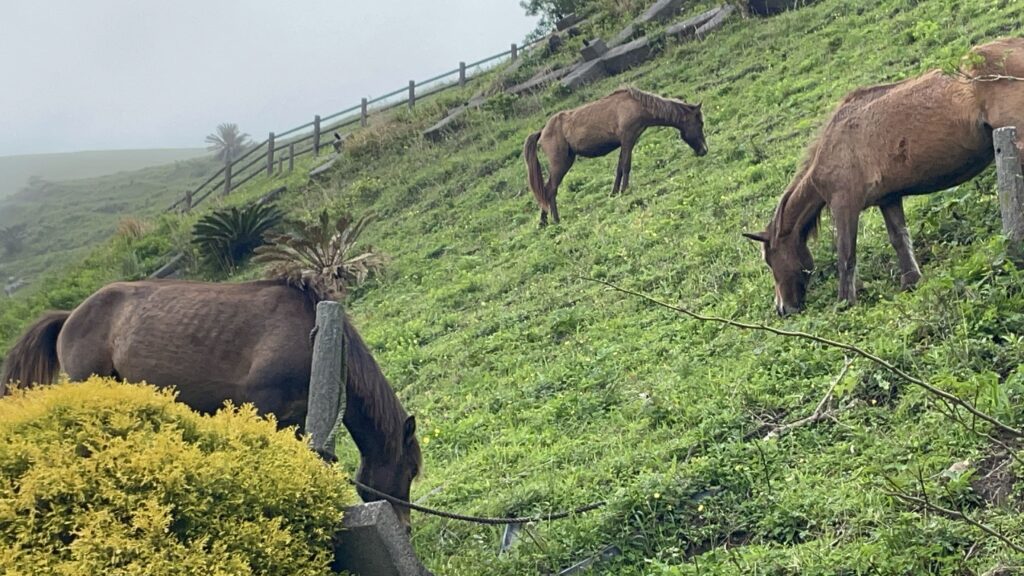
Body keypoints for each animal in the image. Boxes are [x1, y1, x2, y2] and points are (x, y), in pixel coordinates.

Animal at [524, 86, 708, 225]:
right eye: (700, 122)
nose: (704, 150)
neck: (637, 105)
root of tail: (542, 132)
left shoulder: (625, 142)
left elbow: (619, 167)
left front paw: (614, 192)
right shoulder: (628, 138)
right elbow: (626, 165)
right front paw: (624, 190)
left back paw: (543, 222)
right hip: (560, 163)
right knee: (550, 189)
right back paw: (555, 220)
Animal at [745, 36, 1024, 313]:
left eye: (770, 259)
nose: (782, 309)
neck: (834, 146)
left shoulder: (845, 204)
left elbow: (845, 254)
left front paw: (844, 302)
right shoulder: (888, 199)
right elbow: (899, 238)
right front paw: (911, 281)